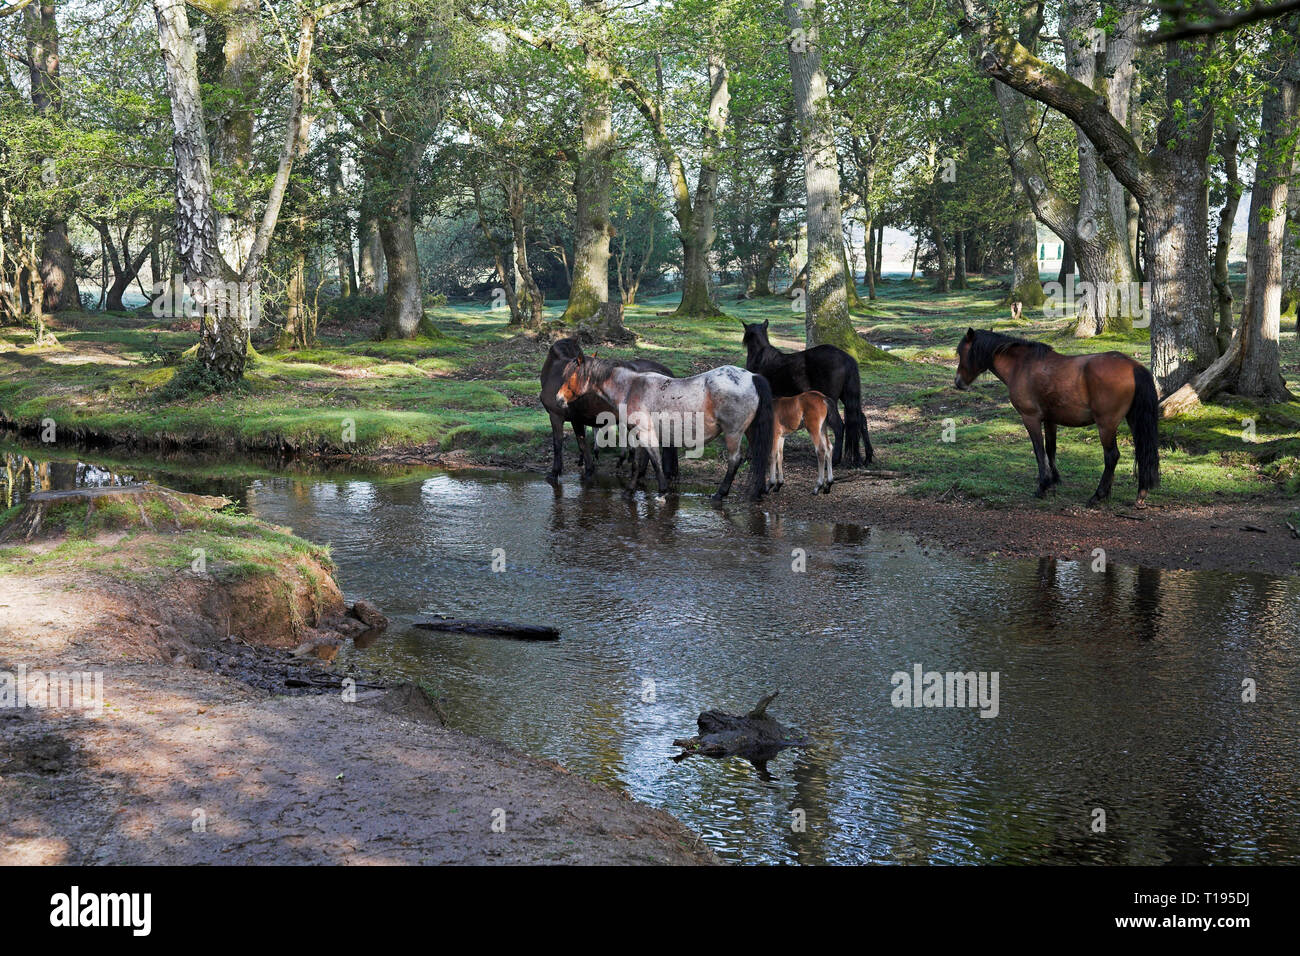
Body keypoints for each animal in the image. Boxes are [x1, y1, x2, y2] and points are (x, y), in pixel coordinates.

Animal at [539, 337, 678, 485]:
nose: (560, 398)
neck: (555, 371)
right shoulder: (577, 420)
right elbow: (582, 443)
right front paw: (589, 469)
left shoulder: (556, 416)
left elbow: (558, 444)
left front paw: (555, 473)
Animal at [555, 356, 774, 501]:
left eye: (571, 375)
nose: (559, 398)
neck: (631, 388)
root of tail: (752, 377)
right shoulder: (638, 435)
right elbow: (639, 463)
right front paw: (630, 490)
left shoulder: (645, 433)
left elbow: (654, 461)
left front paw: (662, 490)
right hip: (750, 432)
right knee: (762, 456)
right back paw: (760, 490)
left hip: (733, 433)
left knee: (735, 460)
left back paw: (720, 493)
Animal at [741, 319, 873, 468]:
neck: (761, 358)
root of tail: (846, 358)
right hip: (848, 398)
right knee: (861, 420)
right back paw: (865, 458)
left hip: (830, 400)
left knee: (839, 426)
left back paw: (835, 460)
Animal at [954, 328, 1160, 506]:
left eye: (961, 353)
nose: (958, 382)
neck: (1021, 365)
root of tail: (1133, 366)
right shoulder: (1050, 420)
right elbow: (1050, 449)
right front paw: (1054, 480)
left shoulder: (1031, 418)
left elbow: (1039, 451)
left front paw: (1043, 486)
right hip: (1132, 420)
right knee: (1141, 451)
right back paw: (1137, 493)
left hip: (1106, 425)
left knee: (1112, 456)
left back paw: (1098, 495)